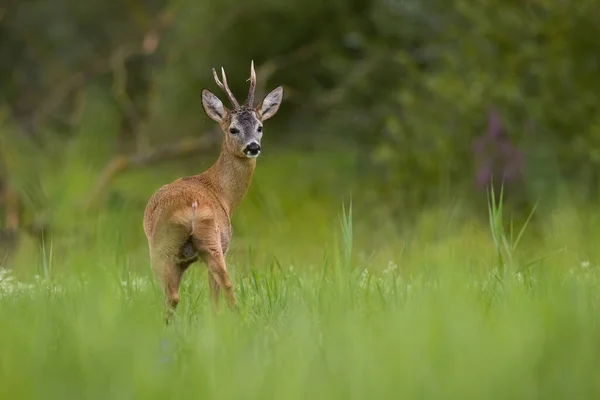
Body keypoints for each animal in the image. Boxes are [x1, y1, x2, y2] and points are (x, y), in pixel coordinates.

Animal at [145, 60, 286, 322]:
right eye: (233, 129)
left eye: (260, 127)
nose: (253, 147)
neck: (222, 193)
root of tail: (190, 208)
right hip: (207, 243)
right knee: (222, 287)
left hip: (170, 246)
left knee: (175, 295)